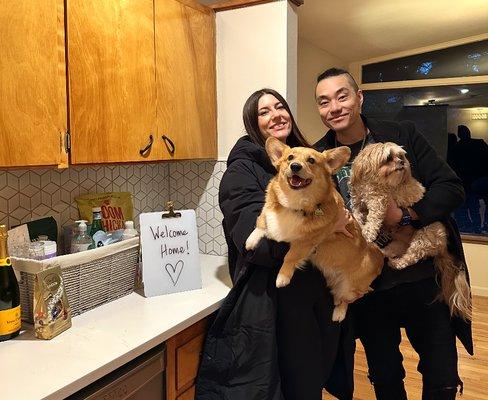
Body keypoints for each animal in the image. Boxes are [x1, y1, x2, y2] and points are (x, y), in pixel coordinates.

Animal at [246, 138, 384, 322]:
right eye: (290, 157)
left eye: (311, 160)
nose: (295, 166)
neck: (295, 204)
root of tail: (378, 257)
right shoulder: (268, 213)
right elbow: (261, 222)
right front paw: (251, 240)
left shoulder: (305, 243)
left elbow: (290, 256)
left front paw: (282, 277)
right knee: (339, 296)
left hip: (350, 288)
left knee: (346, 300)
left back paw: (339, 314)